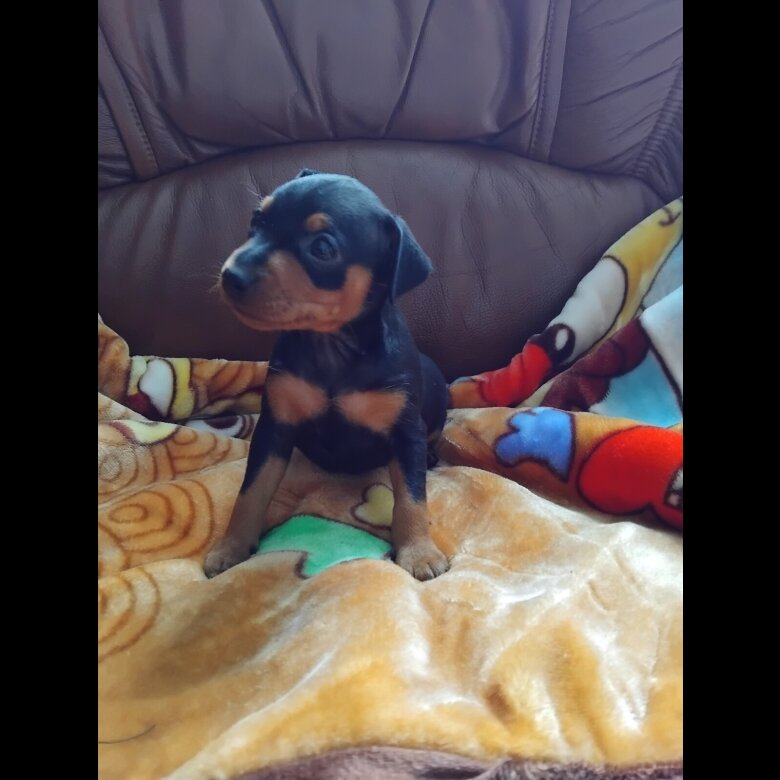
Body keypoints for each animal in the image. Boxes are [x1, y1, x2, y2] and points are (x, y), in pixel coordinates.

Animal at [204, 169, 450, 581]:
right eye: (257, 220)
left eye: (322, 248)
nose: (230, 275)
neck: (332, 346)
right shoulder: (274, 427)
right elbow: (251, 491)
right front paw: (231, 547)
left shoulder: (406, 432)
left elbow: (412, 498)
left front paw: (419, 552)